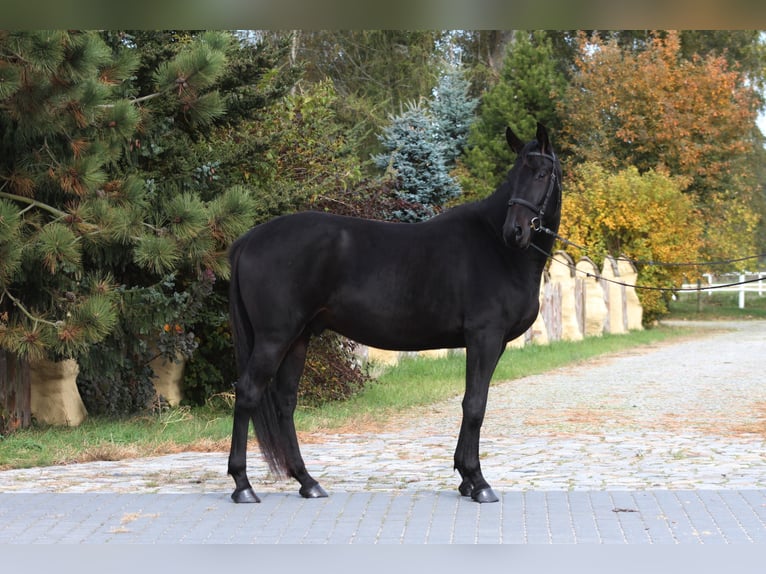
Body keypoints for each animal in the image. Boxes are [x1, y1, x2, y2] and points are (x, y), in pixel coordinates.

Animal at [225, 121, 560, 504]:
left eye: (541, 174)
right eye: (513, 175)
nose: (514, 231)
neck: (496, 249)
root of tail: (250, 239)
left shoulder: (490, 342)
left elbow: (471, 402)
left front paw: (465, 478)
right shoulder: (485, 338)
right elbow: (475, 405)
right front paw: (478, 481)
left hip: (299, 338)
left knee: (285, 402)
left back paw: (307, 481)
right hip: (274, 337)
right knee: (248, 392)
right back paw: (243, 485)